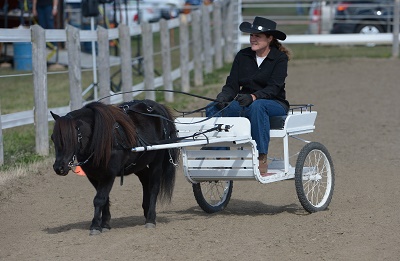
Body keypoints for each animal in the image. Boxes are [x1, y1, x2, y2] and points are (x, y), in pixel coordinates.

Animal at [50, 99, 179, 234]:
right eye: (53, 138)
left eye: (71, 137)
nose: (59, 167)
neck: (100, 140)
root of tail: (155, 105)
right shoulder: (93, 176)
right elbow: (104, 198)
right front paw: (105, 224)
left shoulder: (108, 175)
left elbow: (99, 199)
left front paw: (95, 226)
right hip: (139, 164)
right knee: (145, 182)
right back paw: (146, 211)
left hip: (157, 161)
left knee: (154, 187)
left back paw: (150, 219)